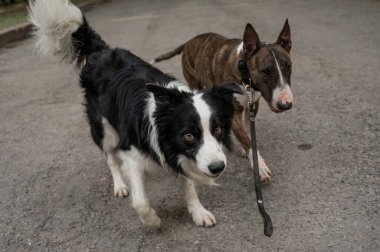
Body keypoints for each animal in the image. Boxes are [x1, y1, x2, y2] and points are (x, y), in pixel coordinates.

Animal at [29, 0, 243, 227]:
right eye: (188, 135)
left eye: (217, 129)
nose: (218, 167)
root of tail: (101, 52)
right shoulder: (132, 151)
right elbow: (139, 200)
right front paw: (152, 220)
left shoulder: (175, 151)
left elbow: (188, 185)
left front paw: (198, 211)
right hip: (104, 129)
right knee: (111, 158)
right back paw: (120, 185)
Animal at [152, 20, 294, 181]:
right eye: (265, 71)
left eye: (289, 66)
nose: (286, 104)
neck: (244, 71)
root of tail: (190, 41)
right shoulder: (234, 113)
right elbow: (246, 139)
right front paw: (260, 166)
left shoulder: (253, 104)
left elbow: (247, 131)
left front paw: (247, 151)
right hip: (193, 80)